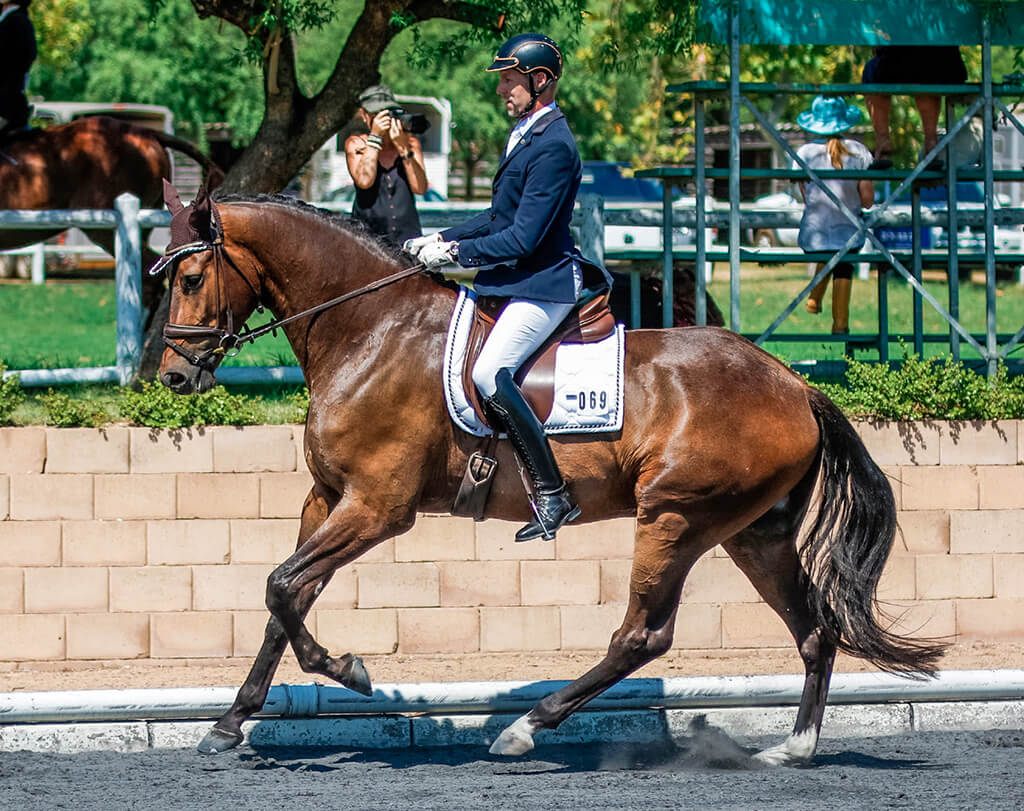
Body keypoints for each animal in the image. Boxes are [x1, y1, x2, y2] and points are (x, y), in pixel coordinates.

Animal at [156, 190, 945, 766]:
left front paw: (348, 669)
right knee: (812, 630)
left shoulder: (378, 507)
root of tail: (793, 384)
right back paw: (795, 748)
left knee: (642, 635)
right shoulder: (326, 498)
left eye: (191, 279)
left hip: (675, 518)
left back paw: (524, 729)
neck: (369, 329)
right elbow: (285, 597)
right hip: (753, 531)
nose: (172, 378)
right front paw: (230, 722)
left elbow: (281, 586)